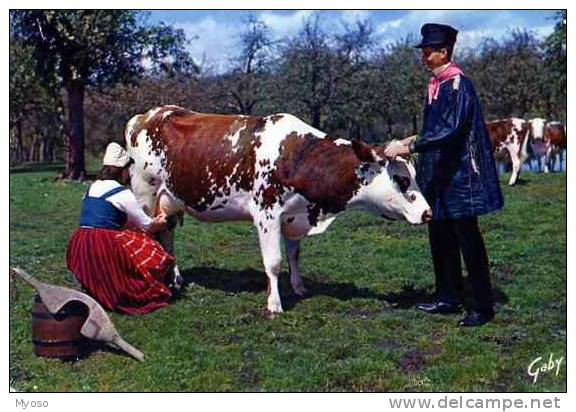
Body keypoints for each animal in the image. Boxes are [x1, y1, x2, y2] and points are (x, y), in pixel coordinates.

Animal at [126, 105, 432, 316]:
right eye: (403, 179)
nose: (428, 213)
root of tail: (147, 115)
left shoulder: (293, 216)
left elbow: (294, 255)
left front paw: (299, 287)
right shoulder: (266, 215)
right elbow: (273, 262)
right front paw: (274, 304)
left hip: (170, 202)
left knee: (166, 236)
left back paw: (176, 278)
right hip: (145, 195)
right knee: (150, 234)